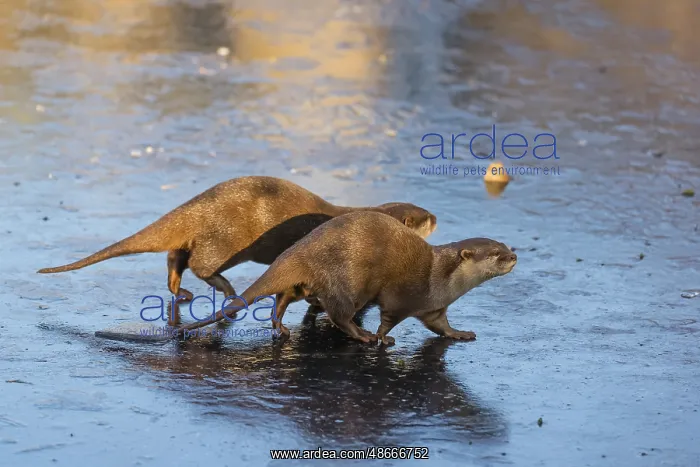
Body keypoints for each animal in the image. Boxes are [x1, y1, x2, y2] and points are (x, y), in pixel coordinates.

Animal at [37, 176, 437, 323]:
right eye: (421, 217)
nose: (436, 215)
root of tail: (195, 207)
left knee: (175, 256)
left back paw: (180, 291)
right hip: (223, 240)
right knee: (199, 263)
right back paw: (225, 290)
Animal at [176, 211, 516, 345]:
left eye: (505, 245)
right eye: (495, 253)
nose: (514, 256)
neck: (441, 281)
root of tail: (301, 250)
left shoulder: (434, 308)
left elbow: (441, 326)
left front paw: (461, 333)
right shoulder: (402, 298)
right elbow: (387, 320)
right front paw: (381, 337)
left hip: (308, 284)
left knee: (283, 297)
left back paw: (281, 328)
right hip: (348, 282)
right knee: (339, 314)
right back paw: (361, 335)